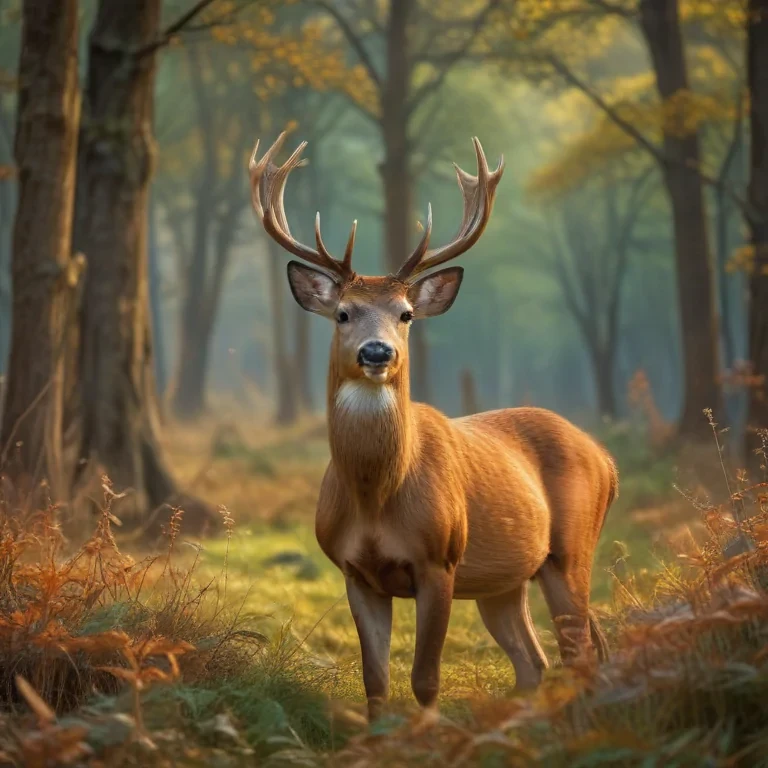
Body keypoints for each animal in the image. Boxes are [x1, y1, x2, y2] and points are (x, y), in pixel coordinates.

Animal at [248, 133, 619, 720]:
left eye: (405, 314)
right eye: (343, 313)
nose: (378, 352)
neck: (377, 499)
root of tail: (607, 458)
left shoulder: (438, 561)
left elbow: (425, 678)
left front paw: (428, 730)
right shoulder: (355, 572)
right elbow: (375, 681)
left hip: (570, 550)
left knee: (579, 652)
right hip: (503, 581)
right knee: (534, 661)